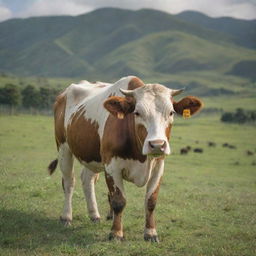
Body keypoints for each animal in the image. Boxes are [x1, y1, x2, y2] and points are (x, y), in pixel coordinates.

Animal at [46, 75, 202, 242]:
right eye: (137, 112)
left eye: (171, 112)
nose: (157, 145)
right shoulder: (111, 167)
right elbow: (118, 201)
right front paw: (116, 233)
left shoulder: (159, 166)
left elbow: (151, 201)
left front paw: (151, 233)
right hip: (63, 148)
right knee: (69, 182)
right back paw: (66, 217)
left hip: (93, 156)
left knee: (87, 180)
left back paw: (94, 215)